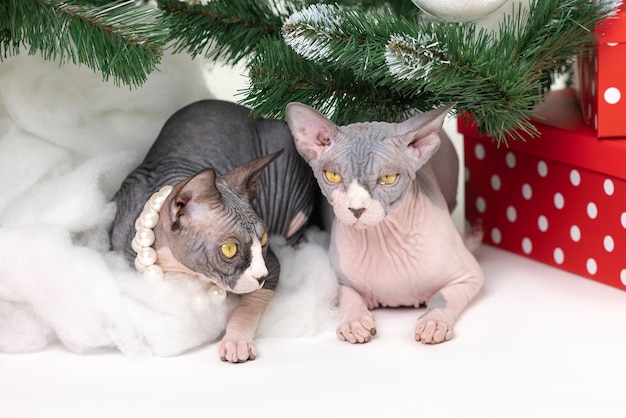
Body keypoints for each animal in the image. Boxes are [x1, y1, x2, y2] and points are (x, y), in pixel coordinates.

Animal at [109, 99, 314, 362]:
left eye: (264, 239)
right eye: (229, 249)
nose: (261, 276)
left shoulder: (272, 265)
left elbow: (251, 303)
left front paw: (236, 341)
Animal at [284, 103, 482, 344]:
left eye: (387, 179)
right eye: (332, 176)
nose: (356, 209)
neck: (383, 237)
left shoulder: (469, 276)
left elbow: (443, 296)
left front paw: (433, 322)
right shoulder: (340, 282)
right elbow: (349, 299)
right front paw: (354, 322)